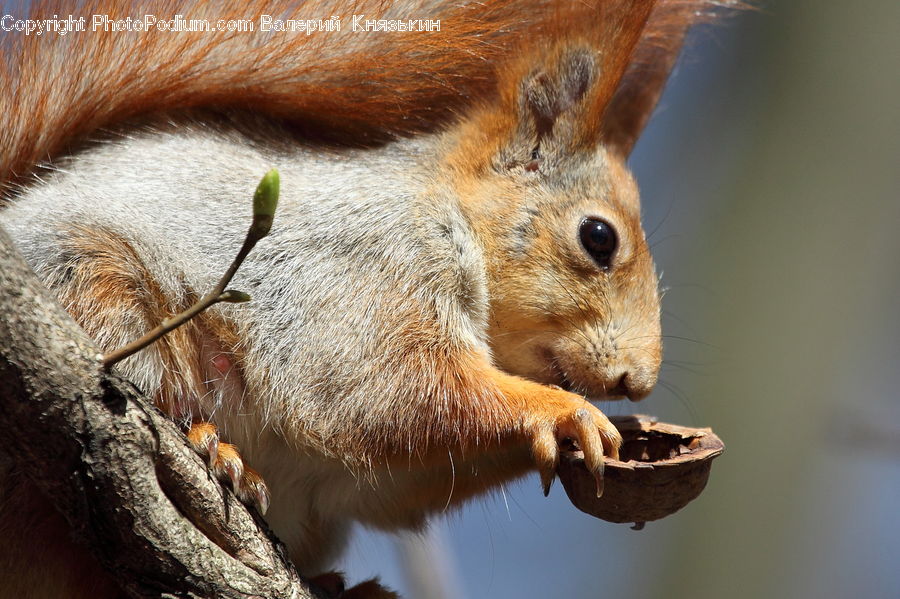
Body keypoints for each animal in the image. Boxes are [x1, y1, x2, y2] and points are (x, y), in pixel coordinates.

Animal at [0, 1, 739, 597]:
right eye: (598, 237)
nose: (637, 380)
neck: (451, 213)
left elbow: (391, 478)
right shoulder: (371, 272)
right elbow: (387, 393)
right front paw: (564, 412)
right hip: (95, 284)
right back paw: (211, 445)